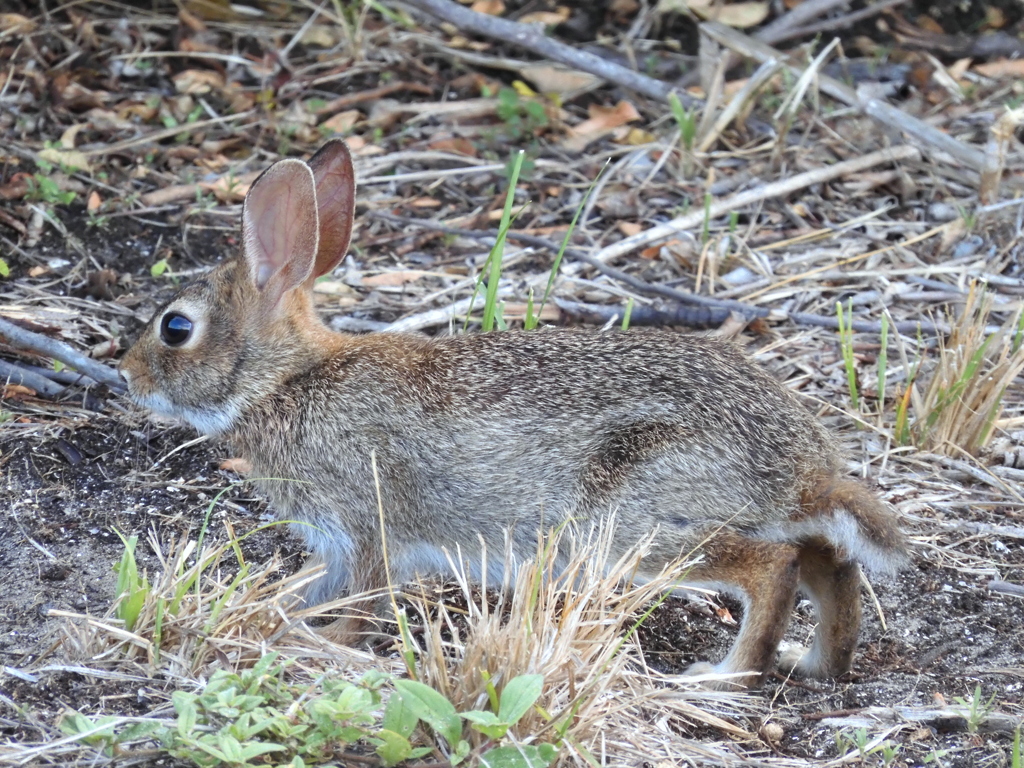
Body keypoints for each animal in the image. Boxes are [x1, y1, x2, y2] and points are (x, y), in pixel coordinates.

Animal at [116, 140, 909, 692]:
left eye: (175, 329)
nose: (125, 373)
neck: (287, 379)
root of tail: (802, 471)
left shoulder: (366, 527)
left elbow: (362, 601)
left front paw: (323, 643)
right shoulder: (335, 545)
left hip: (636, 525)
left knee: (773, 568)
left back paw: (724, 678)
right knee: (830, 562)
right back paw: (817, 664)